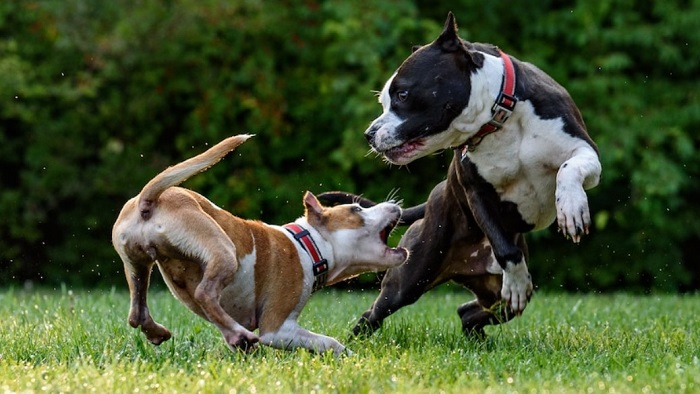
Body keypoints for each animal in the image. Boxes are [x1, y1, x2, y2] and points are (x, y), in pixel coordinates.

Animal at [111, 135, 408, 354]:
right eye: (357, 209)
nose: (395, 205)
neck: (308, 244)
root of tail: (148, 200)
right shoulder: (277, 329)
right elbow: (329, 342)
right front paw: (349, 357)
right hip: (222, 250)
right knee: (205, 293)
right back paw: (239, 334)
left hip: (137, 264)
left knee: (137, 312)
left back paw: (167, 332)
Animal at [320, 13, 600, 336]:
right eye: (384, 102)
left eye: (402, 94)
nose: (369, 134)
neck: (499, 118)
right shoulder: (476, 192)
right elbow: (505, 249)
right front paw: (517, 281)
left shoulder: (585, 150)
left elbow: (569, 168)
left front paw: (572, 208)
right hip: (410, 277)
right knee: (375, 313)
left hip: (493, 296)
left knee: (469, 311)